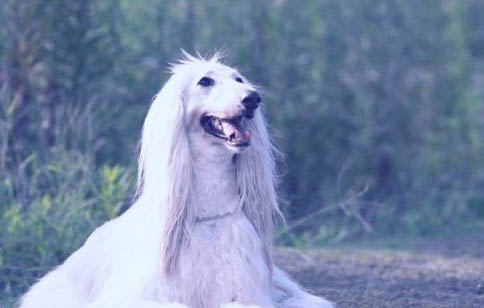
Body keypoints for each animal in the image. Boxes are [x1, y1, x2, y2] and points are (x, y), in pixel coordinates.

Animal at [20, 53, 334, 308]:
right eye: (205, 81)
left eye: (238, 79)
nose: (252, 99)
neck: (207, 215)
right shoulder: (130, 296)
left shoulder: (249, 289)